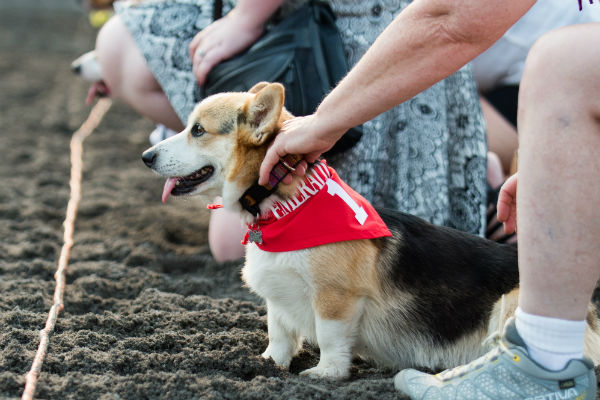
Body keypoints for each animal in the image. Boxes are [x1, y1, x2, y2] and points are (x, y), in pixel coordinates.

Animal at [142, 83, 600, 380]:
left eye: (197, 130)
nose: (145, 156)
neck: (287, 207)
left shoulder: (335, 298)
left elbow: (330, 338)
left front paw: (325, 375)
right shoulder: (278, 298)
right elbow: (280, 334)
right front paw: (268, 365)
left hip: (512, 303)